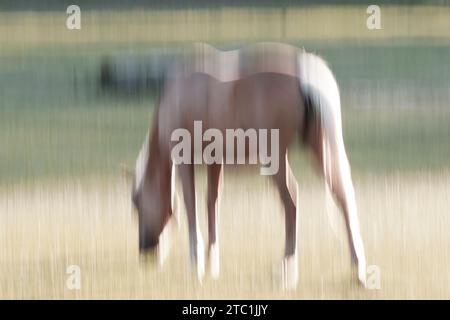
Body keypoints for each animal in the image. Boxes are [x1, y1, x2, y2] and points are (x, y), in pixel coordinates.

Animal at [129, 41, 366, 288]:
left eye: (136, 202)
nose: (145, 249)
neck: (177, 92)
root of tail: (303, 69)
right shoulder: (215, 162)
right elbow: (211, 202)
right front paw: (212, 263)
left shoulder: (185, 160)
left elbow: (190, 203)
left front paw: (196, 264)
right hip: (319, 147)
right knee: (342, 197)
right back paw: (357, 269)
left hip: (276, 157)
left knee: (291, 198)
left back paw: (287, 267)